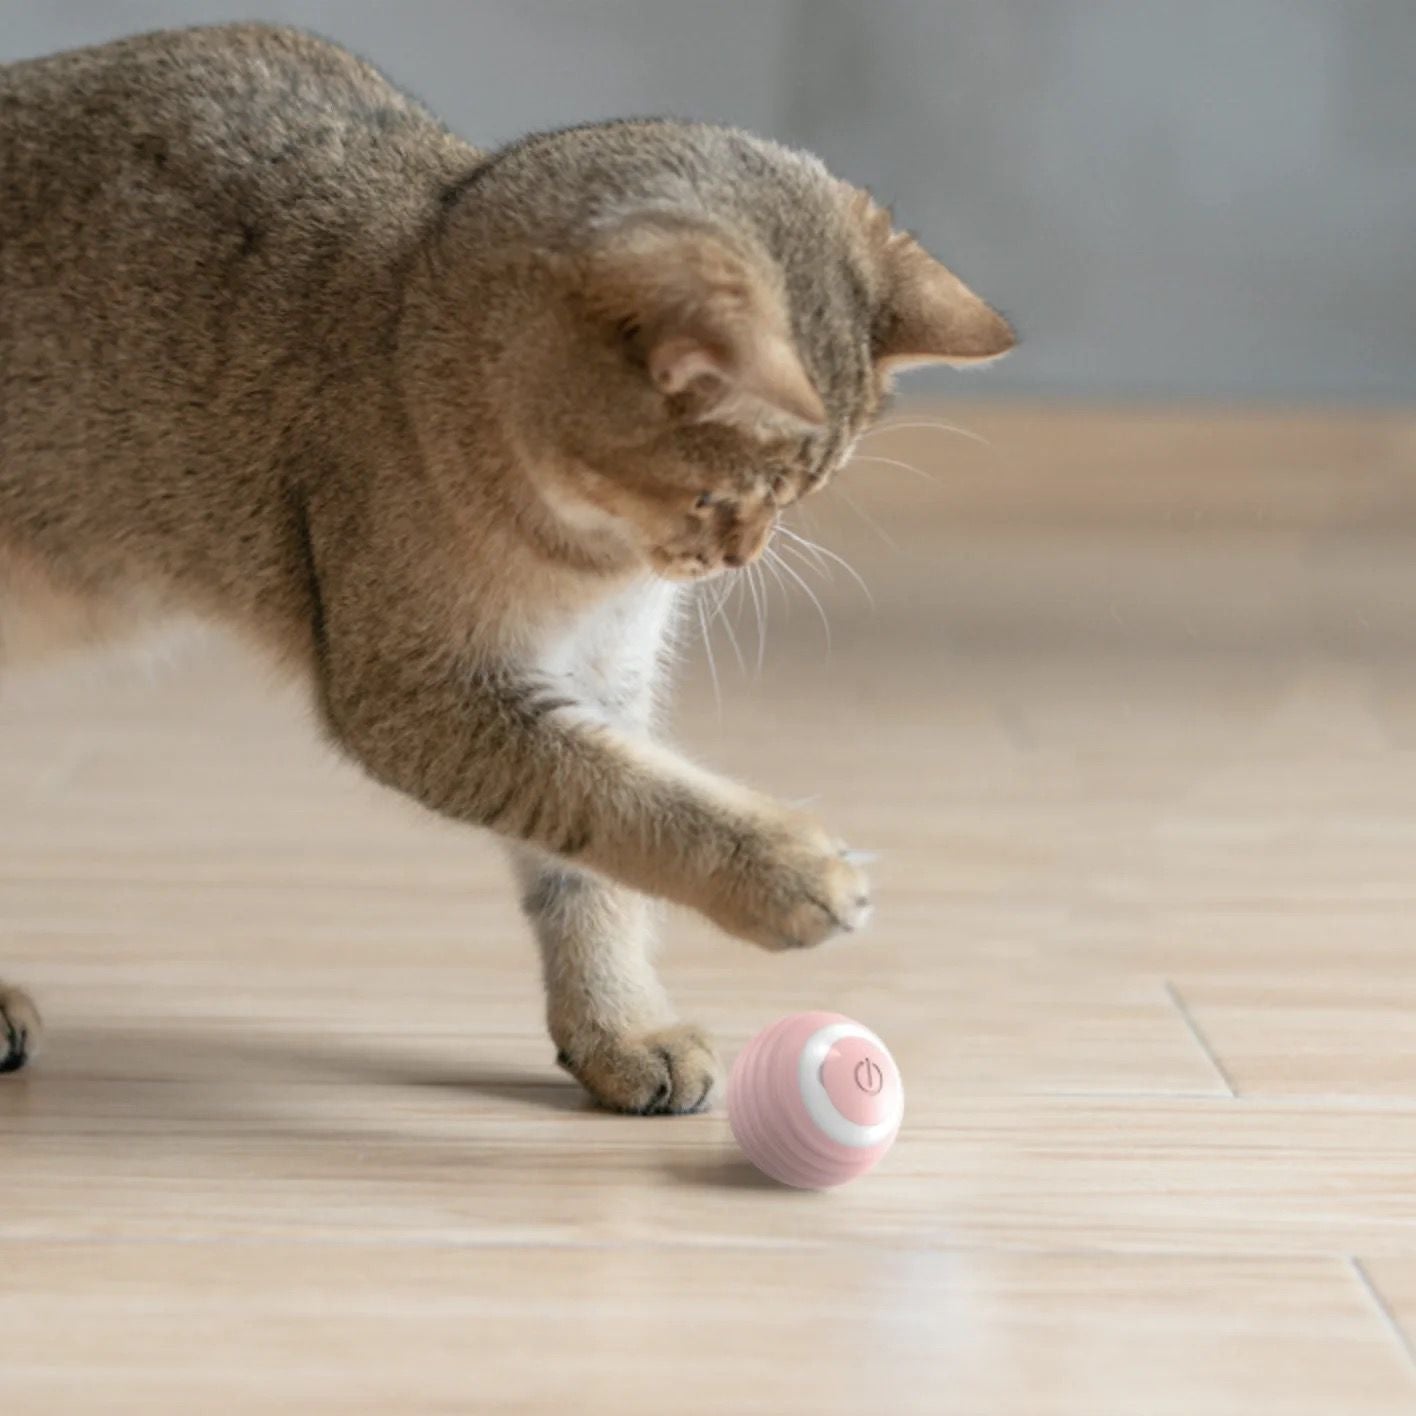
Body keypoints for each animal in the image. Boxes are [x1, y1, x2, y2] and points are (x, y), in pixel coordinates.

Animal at [2, 19, 1019, 1104]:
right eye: (717, 497)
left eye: (801, 498)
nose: (737, 559)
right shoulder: (421, 691)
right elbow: (622, 798)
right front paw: (784, 873)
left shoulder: (602, 677)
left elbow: (594, 868)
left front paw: (620, 1029)